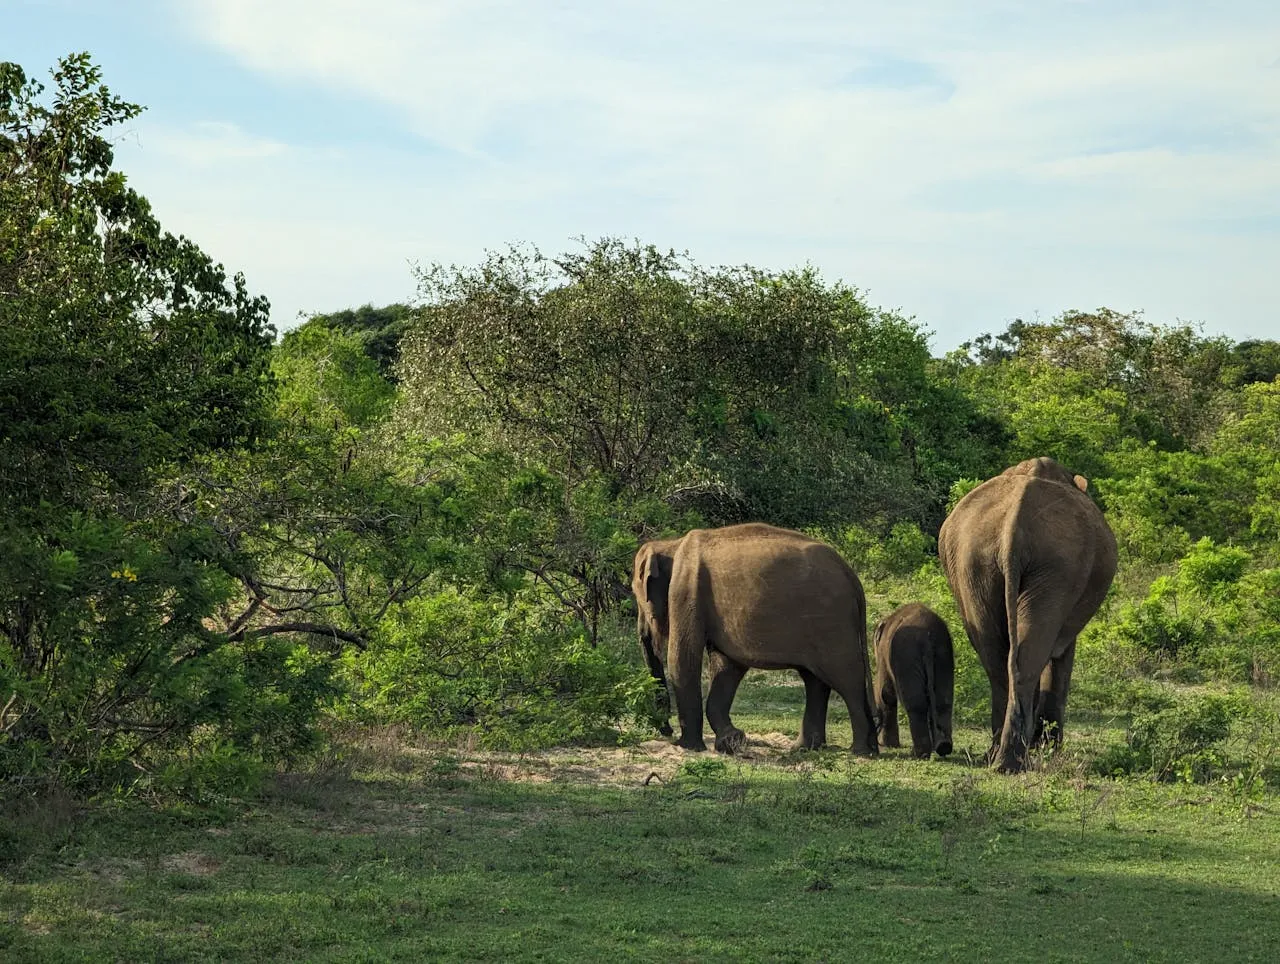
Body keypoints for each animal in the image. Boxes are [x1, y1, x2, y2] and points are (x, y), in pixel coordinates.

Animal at [632, 523, 878, 756]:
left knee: (846, 679)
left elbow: (683, 659)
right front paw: (731, 741)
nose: (667, 730)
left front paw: (689, 747)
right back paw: (807, 748)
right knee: (815, 680)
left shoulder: (685, 592)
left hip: (832, 623)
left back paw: (860, 750)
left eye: (637, 596)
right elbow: (727, 666)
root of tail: (852, 577)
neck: (671, 544)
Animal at [873, 603, 954, 759]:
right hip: (943, 656)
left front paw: (889, 745)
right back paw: (943, 747)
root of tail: (928, 636)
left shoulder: (884, 654)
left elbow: (885, 693)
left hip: (907, 657)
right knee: (943, 701)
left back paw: (919, 753)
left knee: (916, 704)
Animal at [938, 457, 1117, 773]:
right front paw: (1048, 747)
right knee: (1028, 655)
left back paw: (998, 758)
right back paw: (1014, 762)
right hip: (1058, 567)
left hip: (973, 564)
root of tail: (1013, 528)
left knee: (999, 659)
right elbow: (1061, 653)